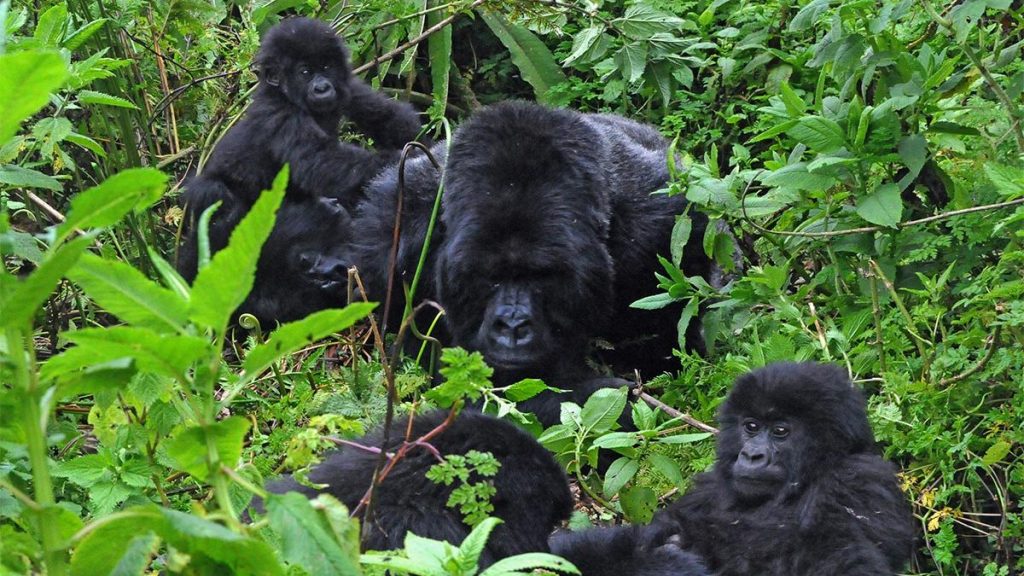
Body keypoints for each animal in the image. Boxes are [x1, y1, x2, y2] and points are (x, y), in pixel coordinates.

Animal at [181, 17, 423, 282]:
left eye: (326, 67)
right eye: (304, 72)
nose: (322, 88)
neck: (284, 95)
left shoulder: (347, 86)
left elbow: (388, 116)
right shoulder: (280, 116)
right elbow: (320, 162)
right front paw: (400, 159)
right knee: (213, 193)